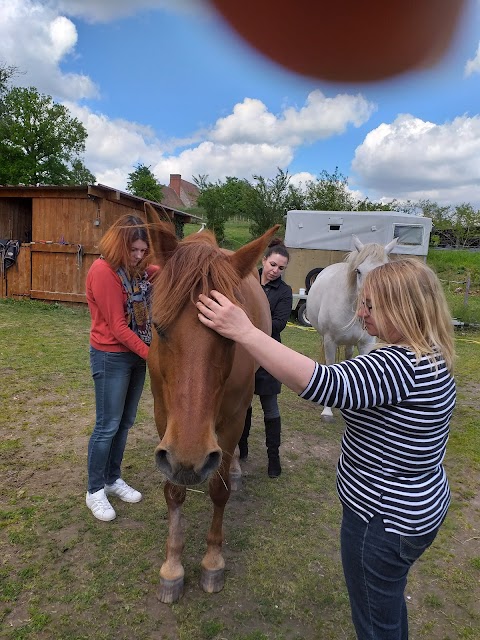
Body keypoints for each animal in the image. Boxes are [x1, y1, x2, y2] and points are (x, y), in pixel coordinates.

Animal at [144, 206, 278, 604]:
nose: (189, 459)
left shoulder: (228, 423)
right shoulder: (165, 422)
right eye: (158, 327)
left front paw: (212, 562)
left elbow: (219, 491)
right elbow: (174, 490)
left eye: (231, 335)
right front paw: (172, 567)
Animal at [308, 235, 398, 420]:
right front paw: (327, 411)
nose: (372, 302)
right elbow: (329, 367)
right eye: (358, 271)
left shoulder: (366, 344)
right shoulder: (329, 341)